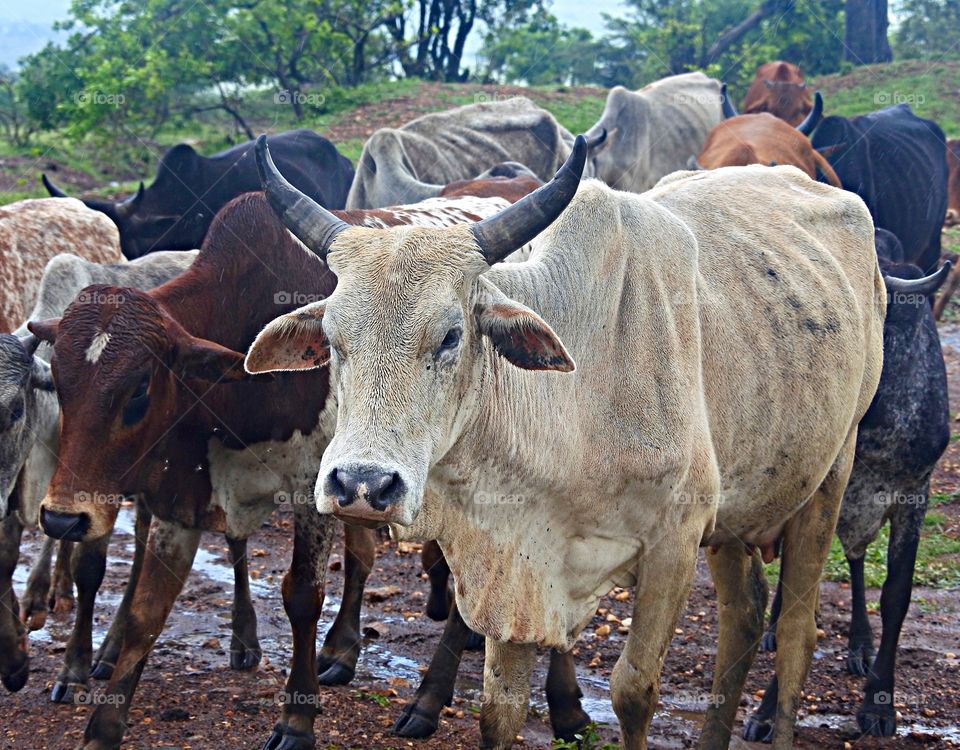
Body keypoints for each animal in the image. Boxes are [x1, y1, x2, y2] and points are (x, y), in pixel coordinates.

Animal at [246, 138, 884, 748]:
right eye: (333, 337)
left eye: (451, 335)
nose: (362, 485)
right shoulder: (517, 565)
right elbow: (499, 711)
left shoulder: (674, 545)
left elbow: (634, 692)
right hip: (736, 513)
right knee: (746, 614)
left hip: (830, 475)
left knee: (797, 634)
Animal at [748, 234, 948, 740]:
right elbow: (801, 600)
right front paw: (767, 709)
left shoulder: (914, 495)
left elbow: (896, 596)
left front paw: (879, 701)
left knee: (857, 562)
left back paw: (860, 644)